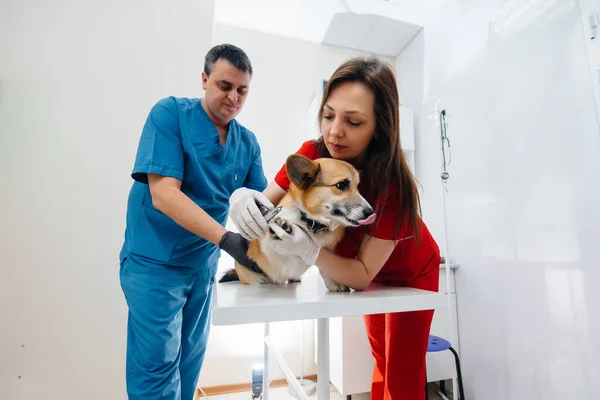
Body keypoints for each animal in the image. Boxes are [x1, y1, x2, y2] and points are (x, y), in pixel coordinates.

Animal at [218, 154, 372, 290]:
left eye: (357, 186)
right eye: (341, 185)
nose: (371, 213)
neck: (310, 221)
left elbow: (325, 269)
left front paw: (334, 284)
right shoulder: (269, 254)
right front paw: (279, 230)